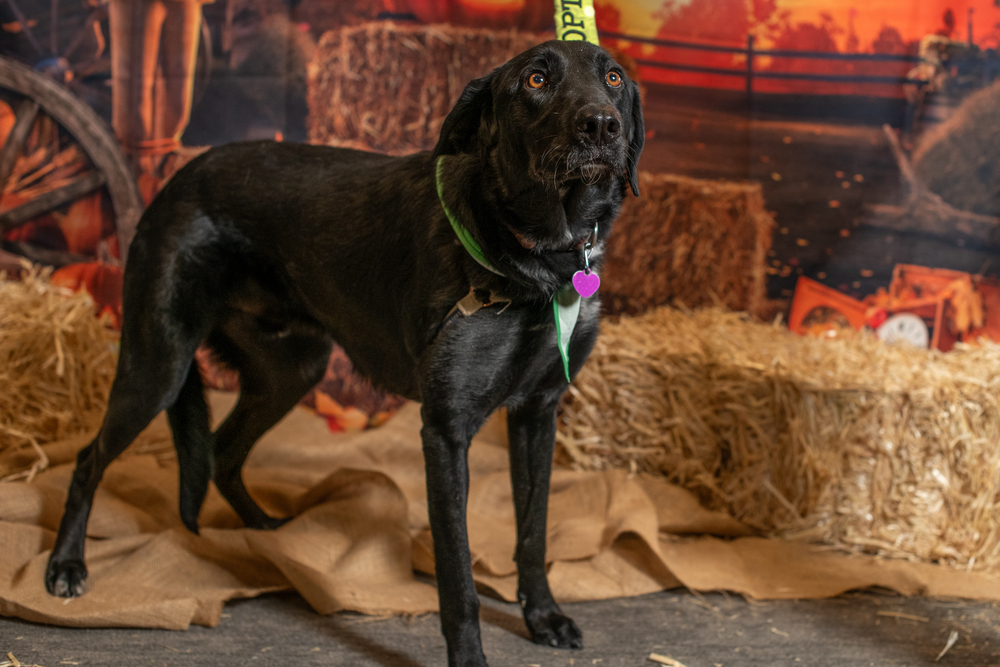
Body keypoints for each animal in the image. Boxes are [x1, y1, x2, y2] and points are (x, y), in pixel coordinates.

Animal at [45, 39, 640, 664]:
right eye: (535, 80)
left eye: (614, 78)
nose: (602, 123)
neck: (537, 261)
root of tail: (175, 179)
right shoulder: (446, 430)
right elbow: (457, 577)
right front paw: (469, 656)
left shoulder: (536, 414)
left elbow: (533, 531)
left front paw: (543, 615)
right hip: (158, 365)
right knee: (89, 460)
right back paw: (66, 566)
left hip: (293, 370)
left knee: (221, 450)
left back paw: (265, 535)